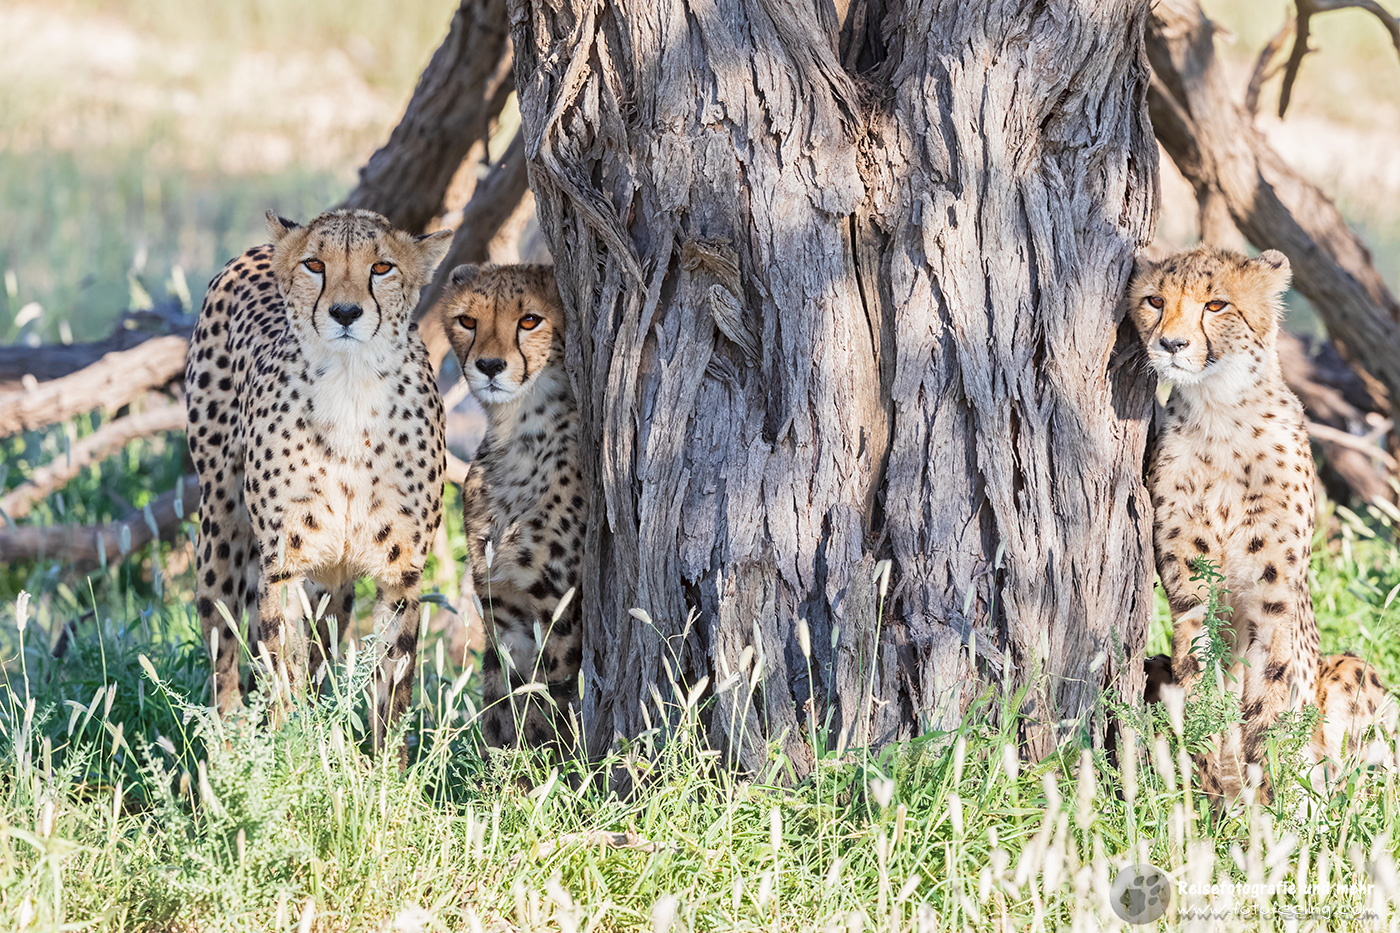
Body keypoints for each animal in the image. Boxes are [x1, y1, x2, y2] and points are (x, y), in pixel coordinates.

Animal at [186, 208, 451, 756]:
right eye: (314, 264)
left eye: (381, 267)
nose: (345, 313)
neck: (351, 386)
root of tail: (257, 250)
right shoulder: (282, 564)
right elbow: (280, 664)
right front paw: (293, 750)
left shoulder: (401, 572)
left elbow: (393, 677)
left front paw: (384, 767)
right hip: (221, 522)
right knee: (223, 636)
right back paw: (228, 742)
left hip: (335, 581)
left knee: (322, 642)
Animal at [437, 263, 584, 753]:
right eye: (467, 321)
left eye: (530, 321)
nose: (489, 365)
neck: (518, 433)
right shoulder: (501, 603)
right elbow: (504, 699)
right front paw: (503, 764)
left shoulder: (558, 604)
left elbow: (549, 698)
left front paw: (549, 763)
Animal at [1128, 243, 1382, 804]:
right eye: (1155, 301)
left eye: (1216, 305)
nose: (1171, 344)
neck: (1221, 418)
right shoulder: (1192, 596)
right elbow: (1201, 689)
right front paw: (1215, 792)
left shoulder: (1273, 602)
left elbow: (1266, 701)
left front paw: (1265, 803)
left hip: (1354, 670)